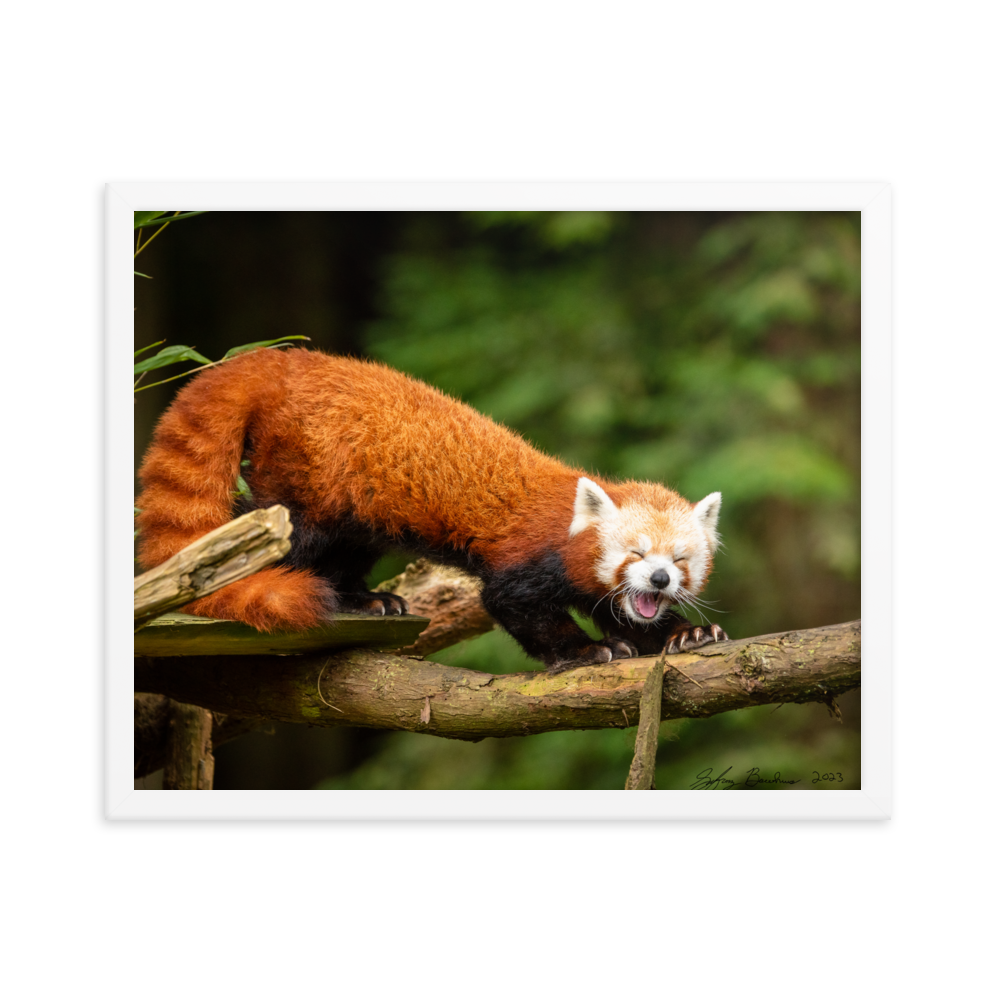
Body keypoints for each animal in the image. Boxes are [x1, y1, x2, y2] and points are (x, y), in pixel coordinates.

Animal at [135, 350, 728, 672]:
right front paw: (586, 651)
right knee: (282, 529)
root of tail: (287, 360)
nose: (658, 579)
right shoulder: (529, 558)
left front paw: (683, 635)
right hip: (306, 477)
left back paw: (364, 600)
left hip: (355, 505)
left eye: (679, 560)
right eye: (636, 553)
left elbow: (622, 610)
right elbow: (512, 603)